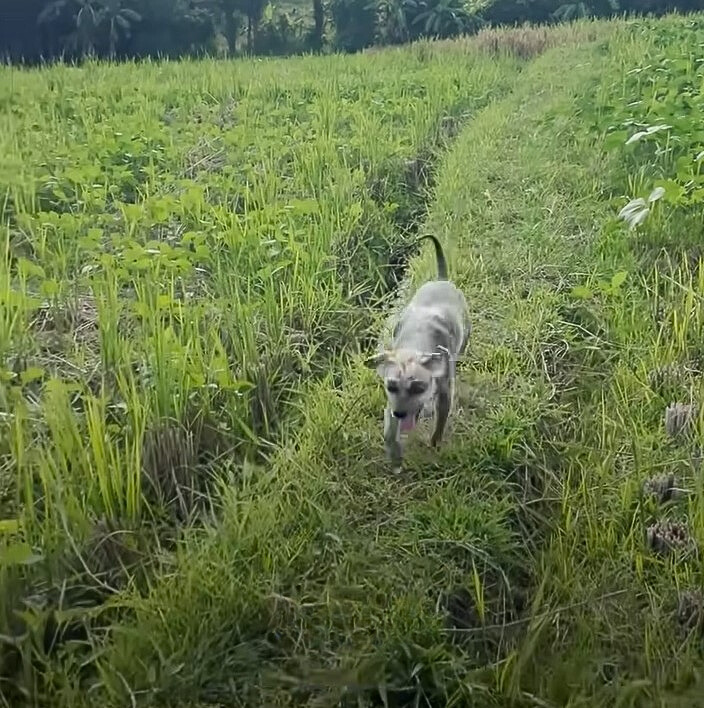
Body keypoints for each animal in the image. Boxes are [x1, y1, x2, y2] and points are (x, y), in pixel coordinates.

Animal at [366, 235, 470, 472]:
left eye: (418, 387)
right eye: (391, 386)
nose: (400, 414)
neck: (416, 343)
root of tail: (441, 279)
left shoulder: (445, 392)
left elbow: (441, 420)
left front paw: (435, 442)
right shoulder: (392, 403)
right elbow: (389, 433)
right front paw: (395, 456)